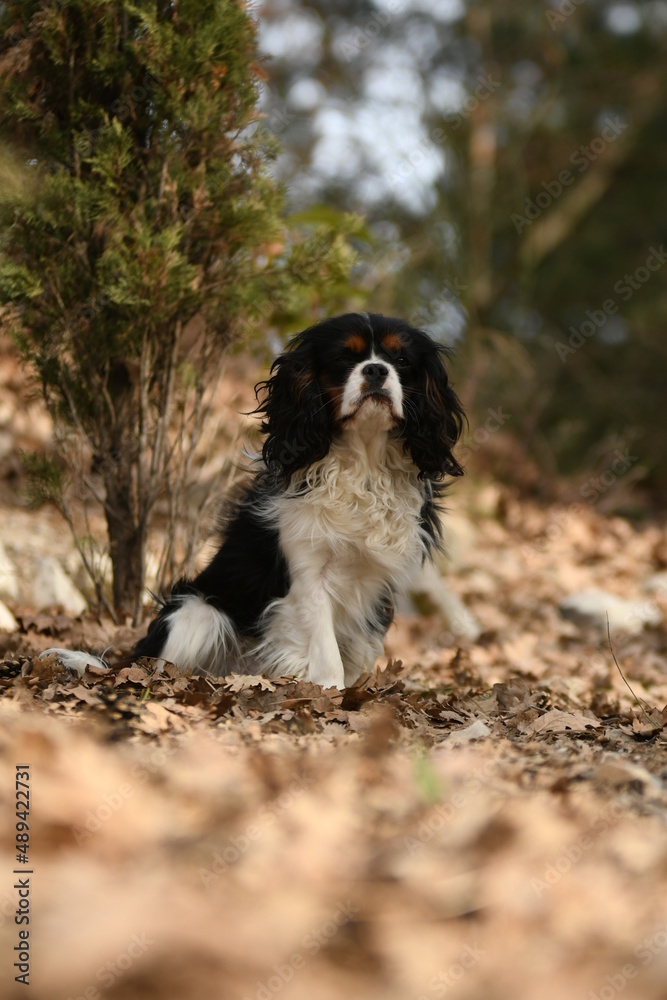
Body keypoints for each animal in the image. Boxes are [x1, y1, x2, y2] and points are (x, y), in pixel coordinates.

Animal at [49, 312, 464, 688]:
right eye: (344, 360)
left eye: (401, 361)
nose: (376, 370)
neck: (364, 460)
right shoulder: (309, 576)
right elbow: (326, 650)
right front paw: (331, 692)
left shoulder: (378, 581)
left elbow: (361, 647)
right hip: (196, 612)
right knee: (163, 665)